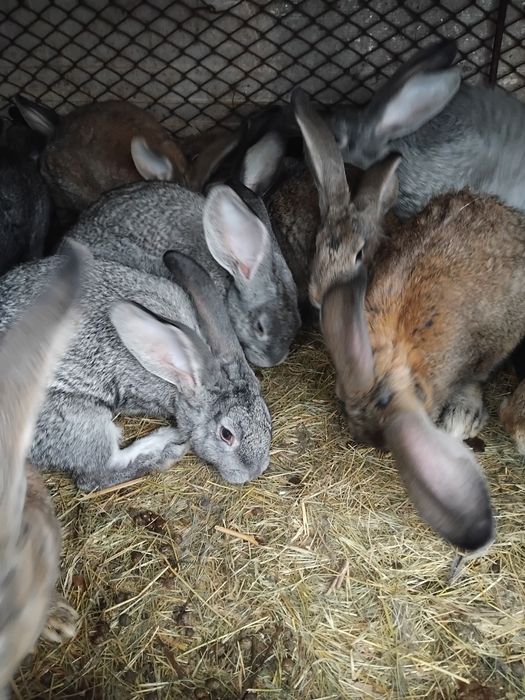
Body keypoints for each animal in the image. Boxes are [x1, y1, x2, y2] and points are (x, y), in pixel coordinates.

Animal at [0, 244, 271, 492]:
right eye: (226, 434)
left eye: (267, 419)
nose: (254, 471)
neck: (179, 379)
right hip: (78, 420)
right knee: (96, 473)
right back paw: (164, 446)